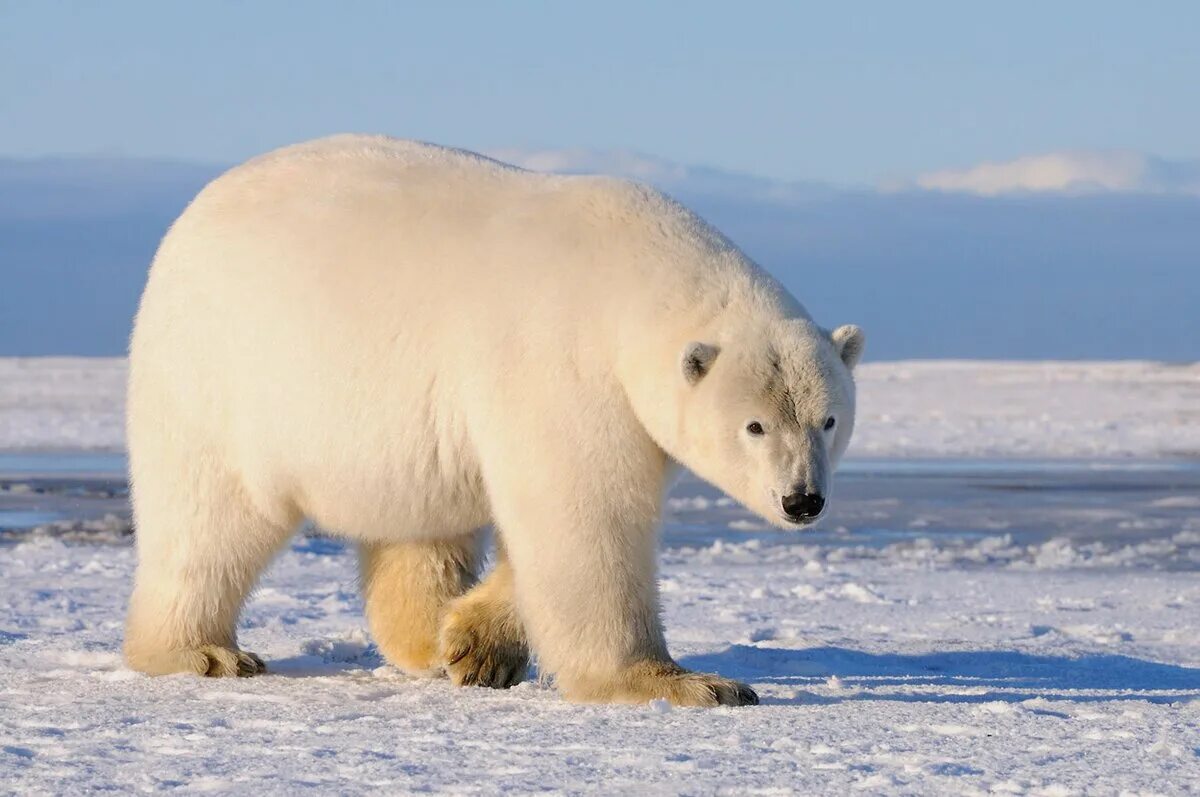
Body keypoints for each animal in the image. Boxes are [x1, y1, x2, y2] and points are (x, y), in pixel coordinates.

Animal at [124, 133, 864, 705]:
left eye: (828, 420)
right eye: (754, 426)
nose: (803, 500)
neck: (630, 281)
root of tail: (188, 220)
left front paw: (476, 642)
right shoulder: (561, 362)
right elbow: (585, 516)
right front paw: (687, 682)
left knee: (419, 521)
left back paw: (429, 641)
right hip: (218, 375)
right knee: (209, 518)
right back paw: (202, 652)